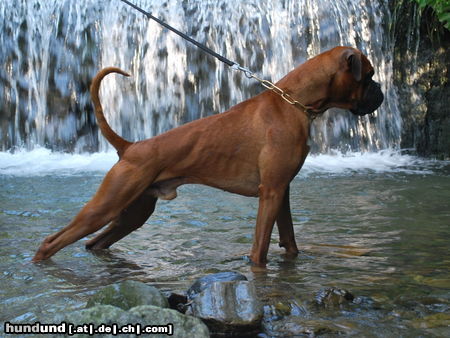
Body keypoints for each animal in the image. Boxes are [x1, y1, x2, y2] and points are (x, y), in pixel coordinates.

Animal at [31, 45, 384, 266]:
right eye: (369, 75)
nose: (381, 92)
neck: (293, 102)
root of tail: (130, 146)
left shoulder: (281, 192)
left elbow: (290, 241)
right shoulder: (269, 194)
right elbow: (259, 249)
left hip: (132, 214)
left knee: (94, 244)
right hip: (104, 207)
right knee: (51, 243)